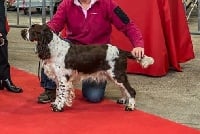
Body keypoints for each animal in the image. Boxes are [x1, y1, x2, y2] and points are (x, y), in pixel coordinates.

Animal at [21, 23, 154, 112]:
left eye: (32, 30)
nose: (22, 31)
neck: (52, 47)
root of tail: (121, 51)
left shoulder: (63, 78)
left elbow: (62, 93)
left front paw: (58, 107)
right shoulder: (59, 78)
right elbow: (58, 92)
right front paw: (55, 104)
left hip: (117, 74)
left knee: (131, 90)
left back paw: (130, 106)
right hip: (113, 75)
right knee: (123, 88)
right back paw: (123, 100)